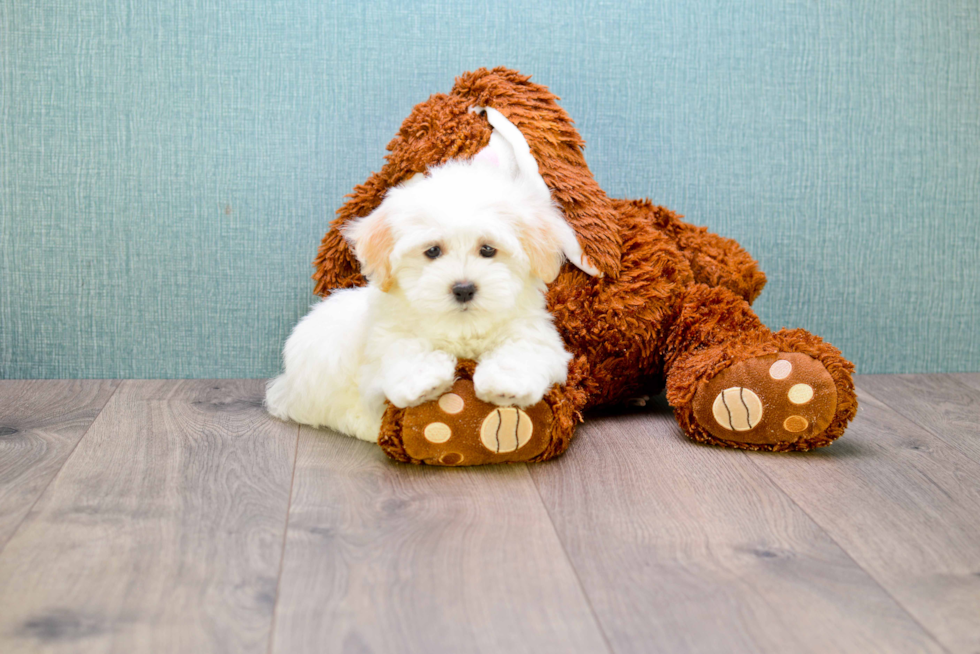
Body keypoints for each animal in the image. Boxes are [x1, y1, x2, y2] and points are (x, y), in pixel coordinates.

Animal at [264, 154, 580, 440]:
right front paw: (424, 381)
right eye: (433, 251)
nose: (463, 288)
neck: (462, 329)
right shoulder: (384, 339)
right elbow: (402, 348)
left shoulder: (535, 333)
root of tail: (286, 386)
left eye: (488, 249)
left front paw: (506, 383)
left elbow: (523, 349)